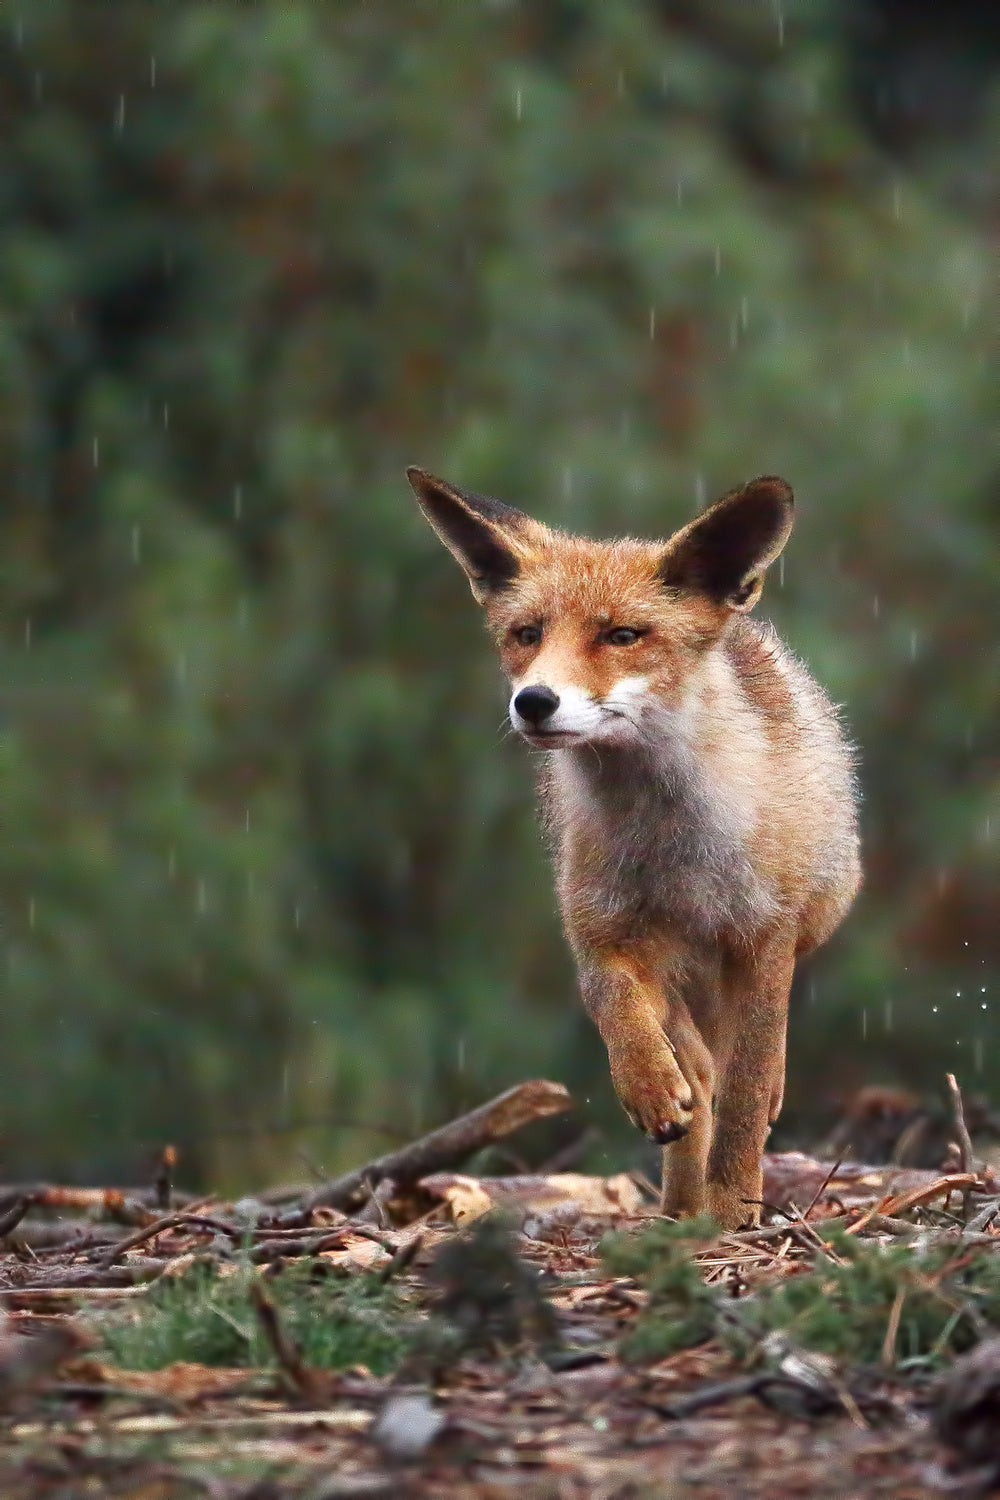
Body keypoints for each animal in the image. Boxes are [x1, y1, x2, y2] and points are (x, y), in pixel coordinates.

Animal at [406, 466, 860, 1229]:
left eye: (622, 634)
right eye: (526, 634)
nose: (534, 701)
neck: (671, 843)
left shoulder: (762, 936)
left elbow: (746, 1090)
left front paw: (734, 1209)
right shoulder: (602, 928)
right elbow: (613, 1004)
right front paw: (648, 1087)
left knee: (742, 1068)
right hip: (673, 965)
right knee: (698, 1070)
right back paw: (678, 1206)